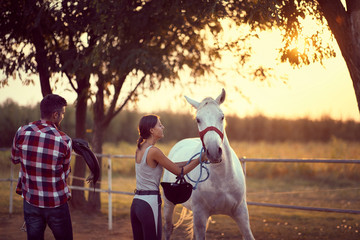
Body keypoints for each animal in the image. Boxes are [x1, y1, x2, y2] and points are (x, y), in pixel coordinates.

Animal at [162, 88, 255, 240]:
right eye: (198, 119)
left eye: (222, 117)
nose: (213, 151)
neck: (222, 179)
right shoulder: (200, 215)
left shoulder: (241, 213)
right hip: (169, 204)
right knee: (168, 228)